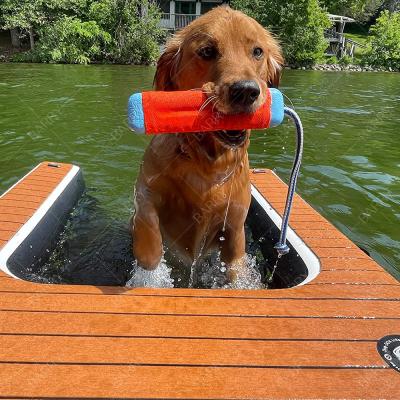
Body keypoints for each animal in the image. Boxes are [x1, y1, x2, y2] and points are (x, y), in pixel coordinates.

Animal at [130, 6, 282, 288]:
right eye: (208, 51)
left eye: (257, 51)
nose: (246, 91)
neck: (207, 160)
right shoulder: (145, 190)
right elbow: (149, 237)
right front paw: (151, 272)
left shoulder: (235, 223)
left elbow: (235, 266)